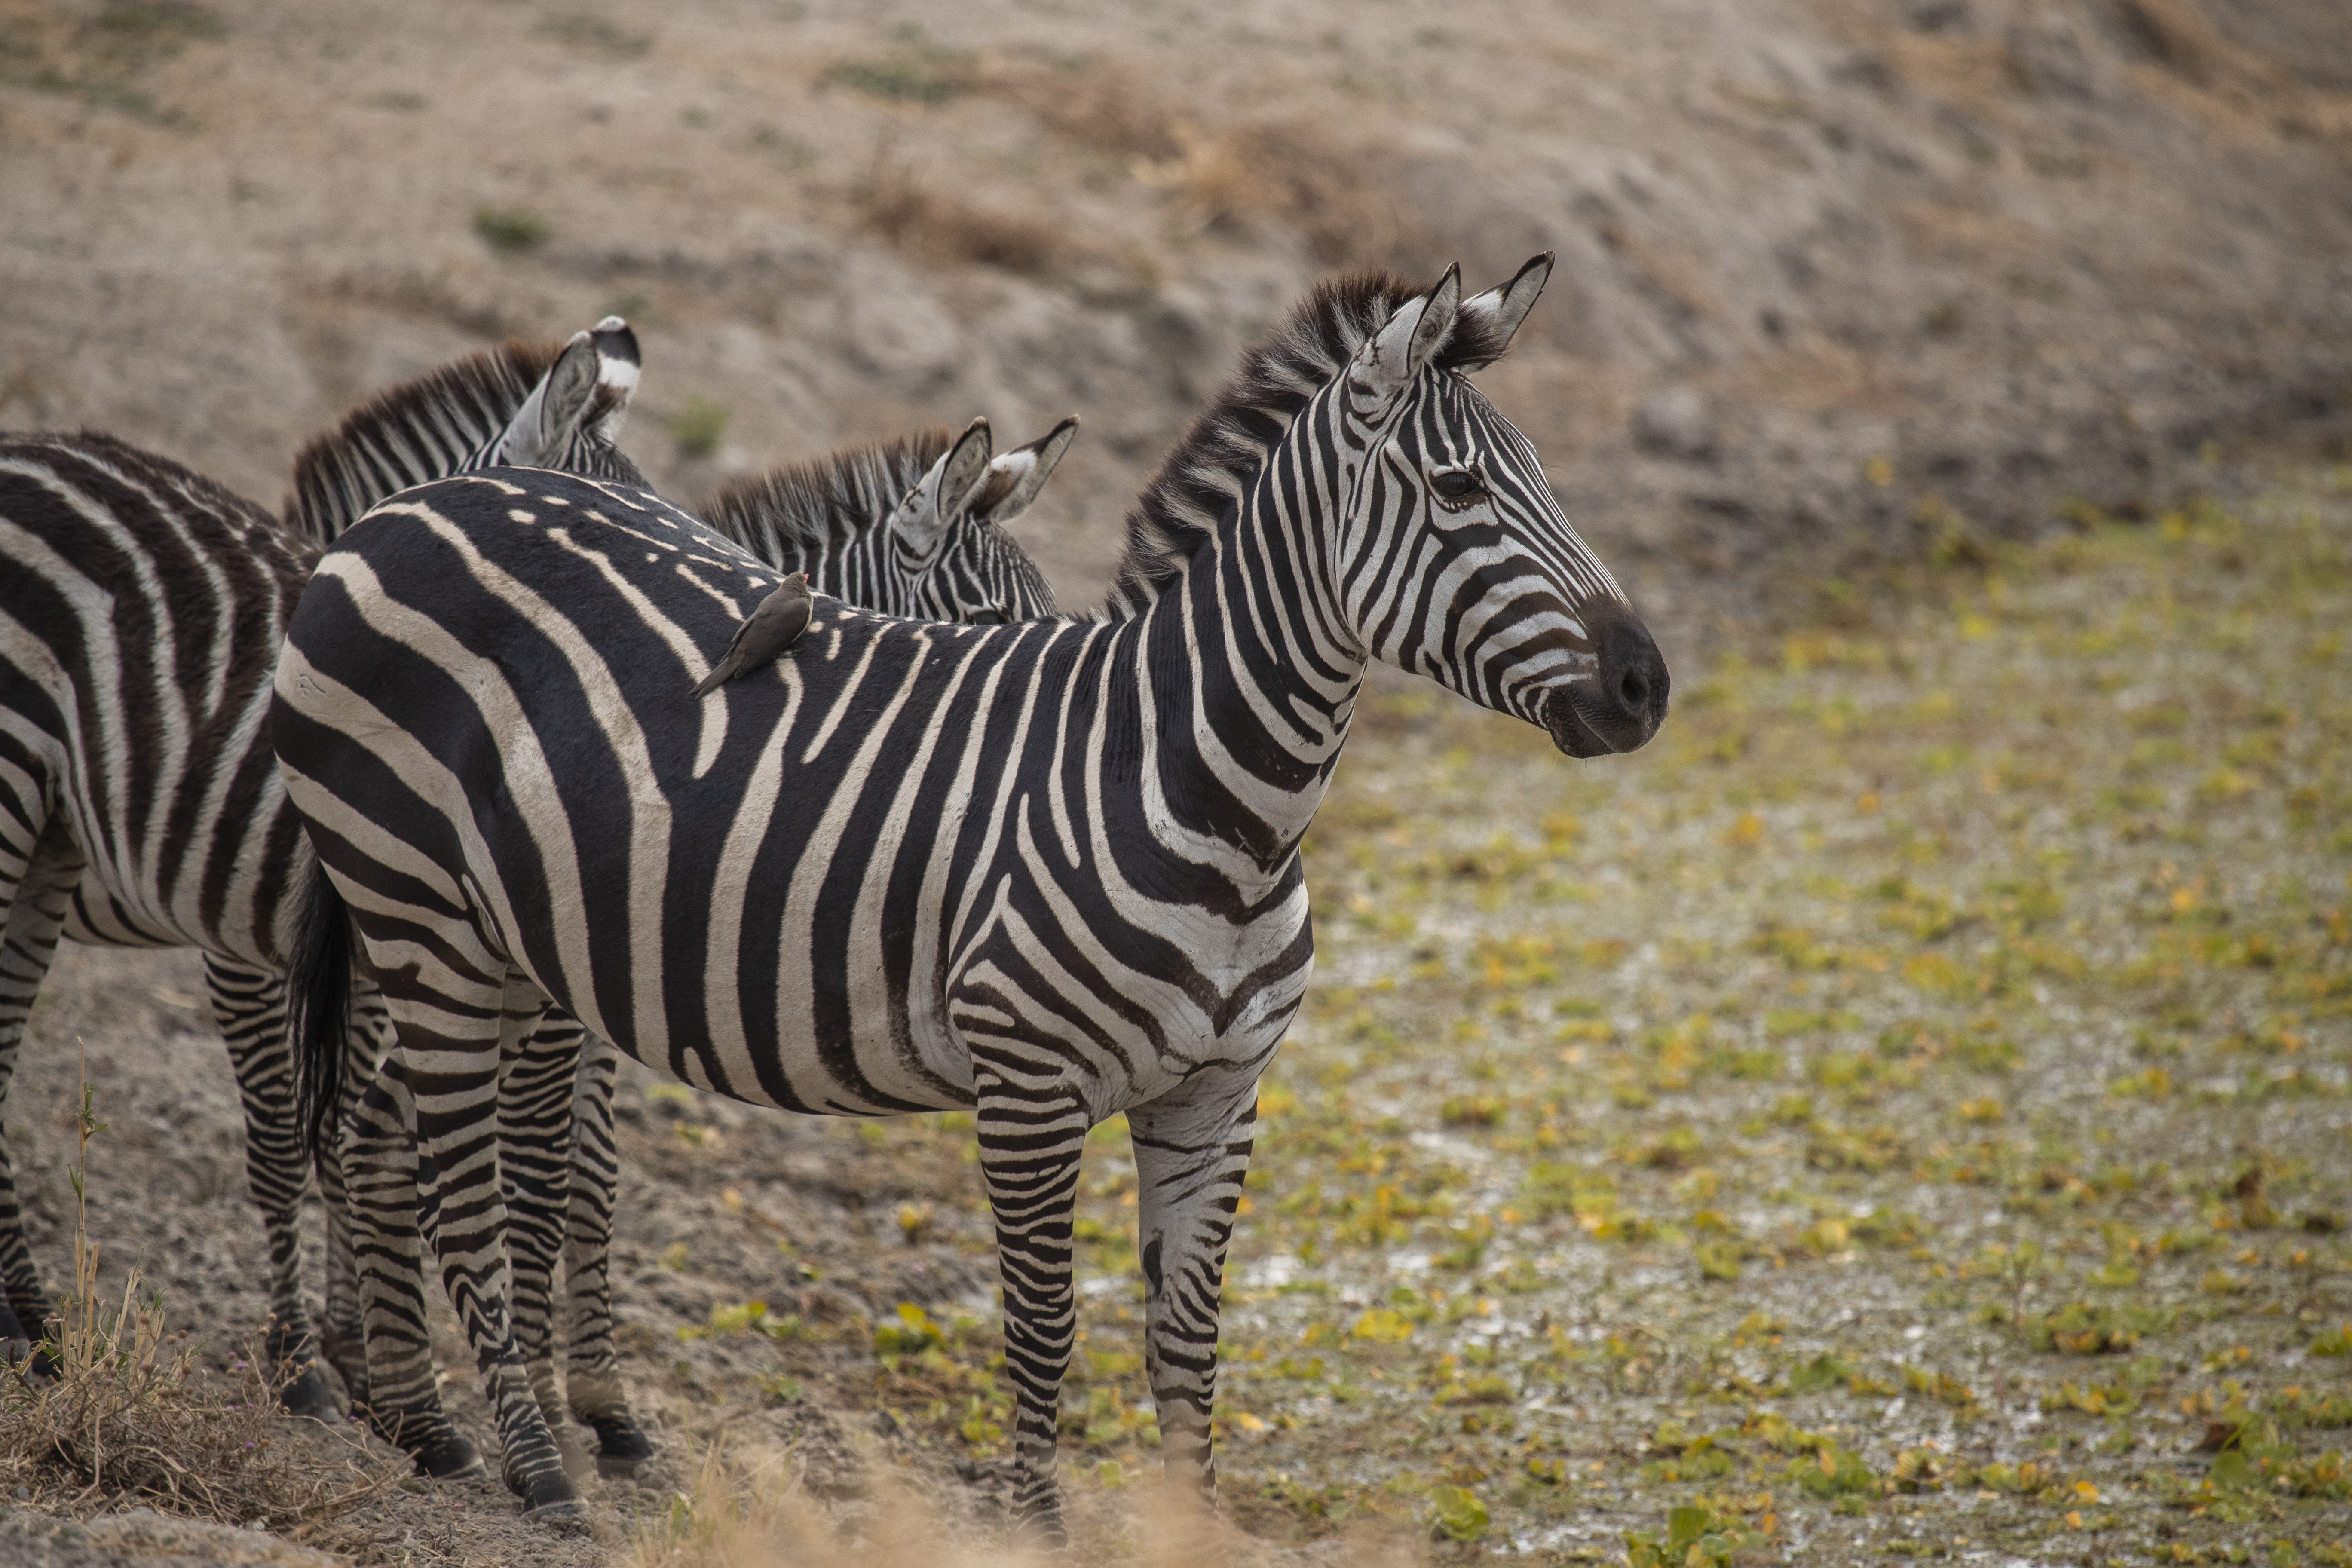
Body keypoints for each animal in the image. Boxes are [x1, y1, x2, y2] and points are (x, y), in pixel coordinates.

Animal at [0, 320, 644, 1416]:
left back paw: (32, 1327)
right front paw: (319, 1366)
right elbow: (303, 1142)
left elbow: (375, 1145)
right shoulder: (258, 942)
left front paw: (377, 1366)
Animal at [274, 255, 1670, 1532]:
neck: (1217, 805)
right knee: (454, 1178)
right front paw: (1040, 1530)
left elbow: (1186, 1342)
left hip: (495, 941)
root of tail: (416, 502)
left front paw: (1188, 1527)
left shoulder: (1218, 1097)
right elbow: (1045, 1328)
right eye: (1460, 490)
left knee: (398, 1137)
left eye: (1541, 481)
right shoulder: (1030, 1089)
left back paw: (429, 1426)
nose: (1646, 684)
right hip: (418, 909)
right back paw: (532, 1474)